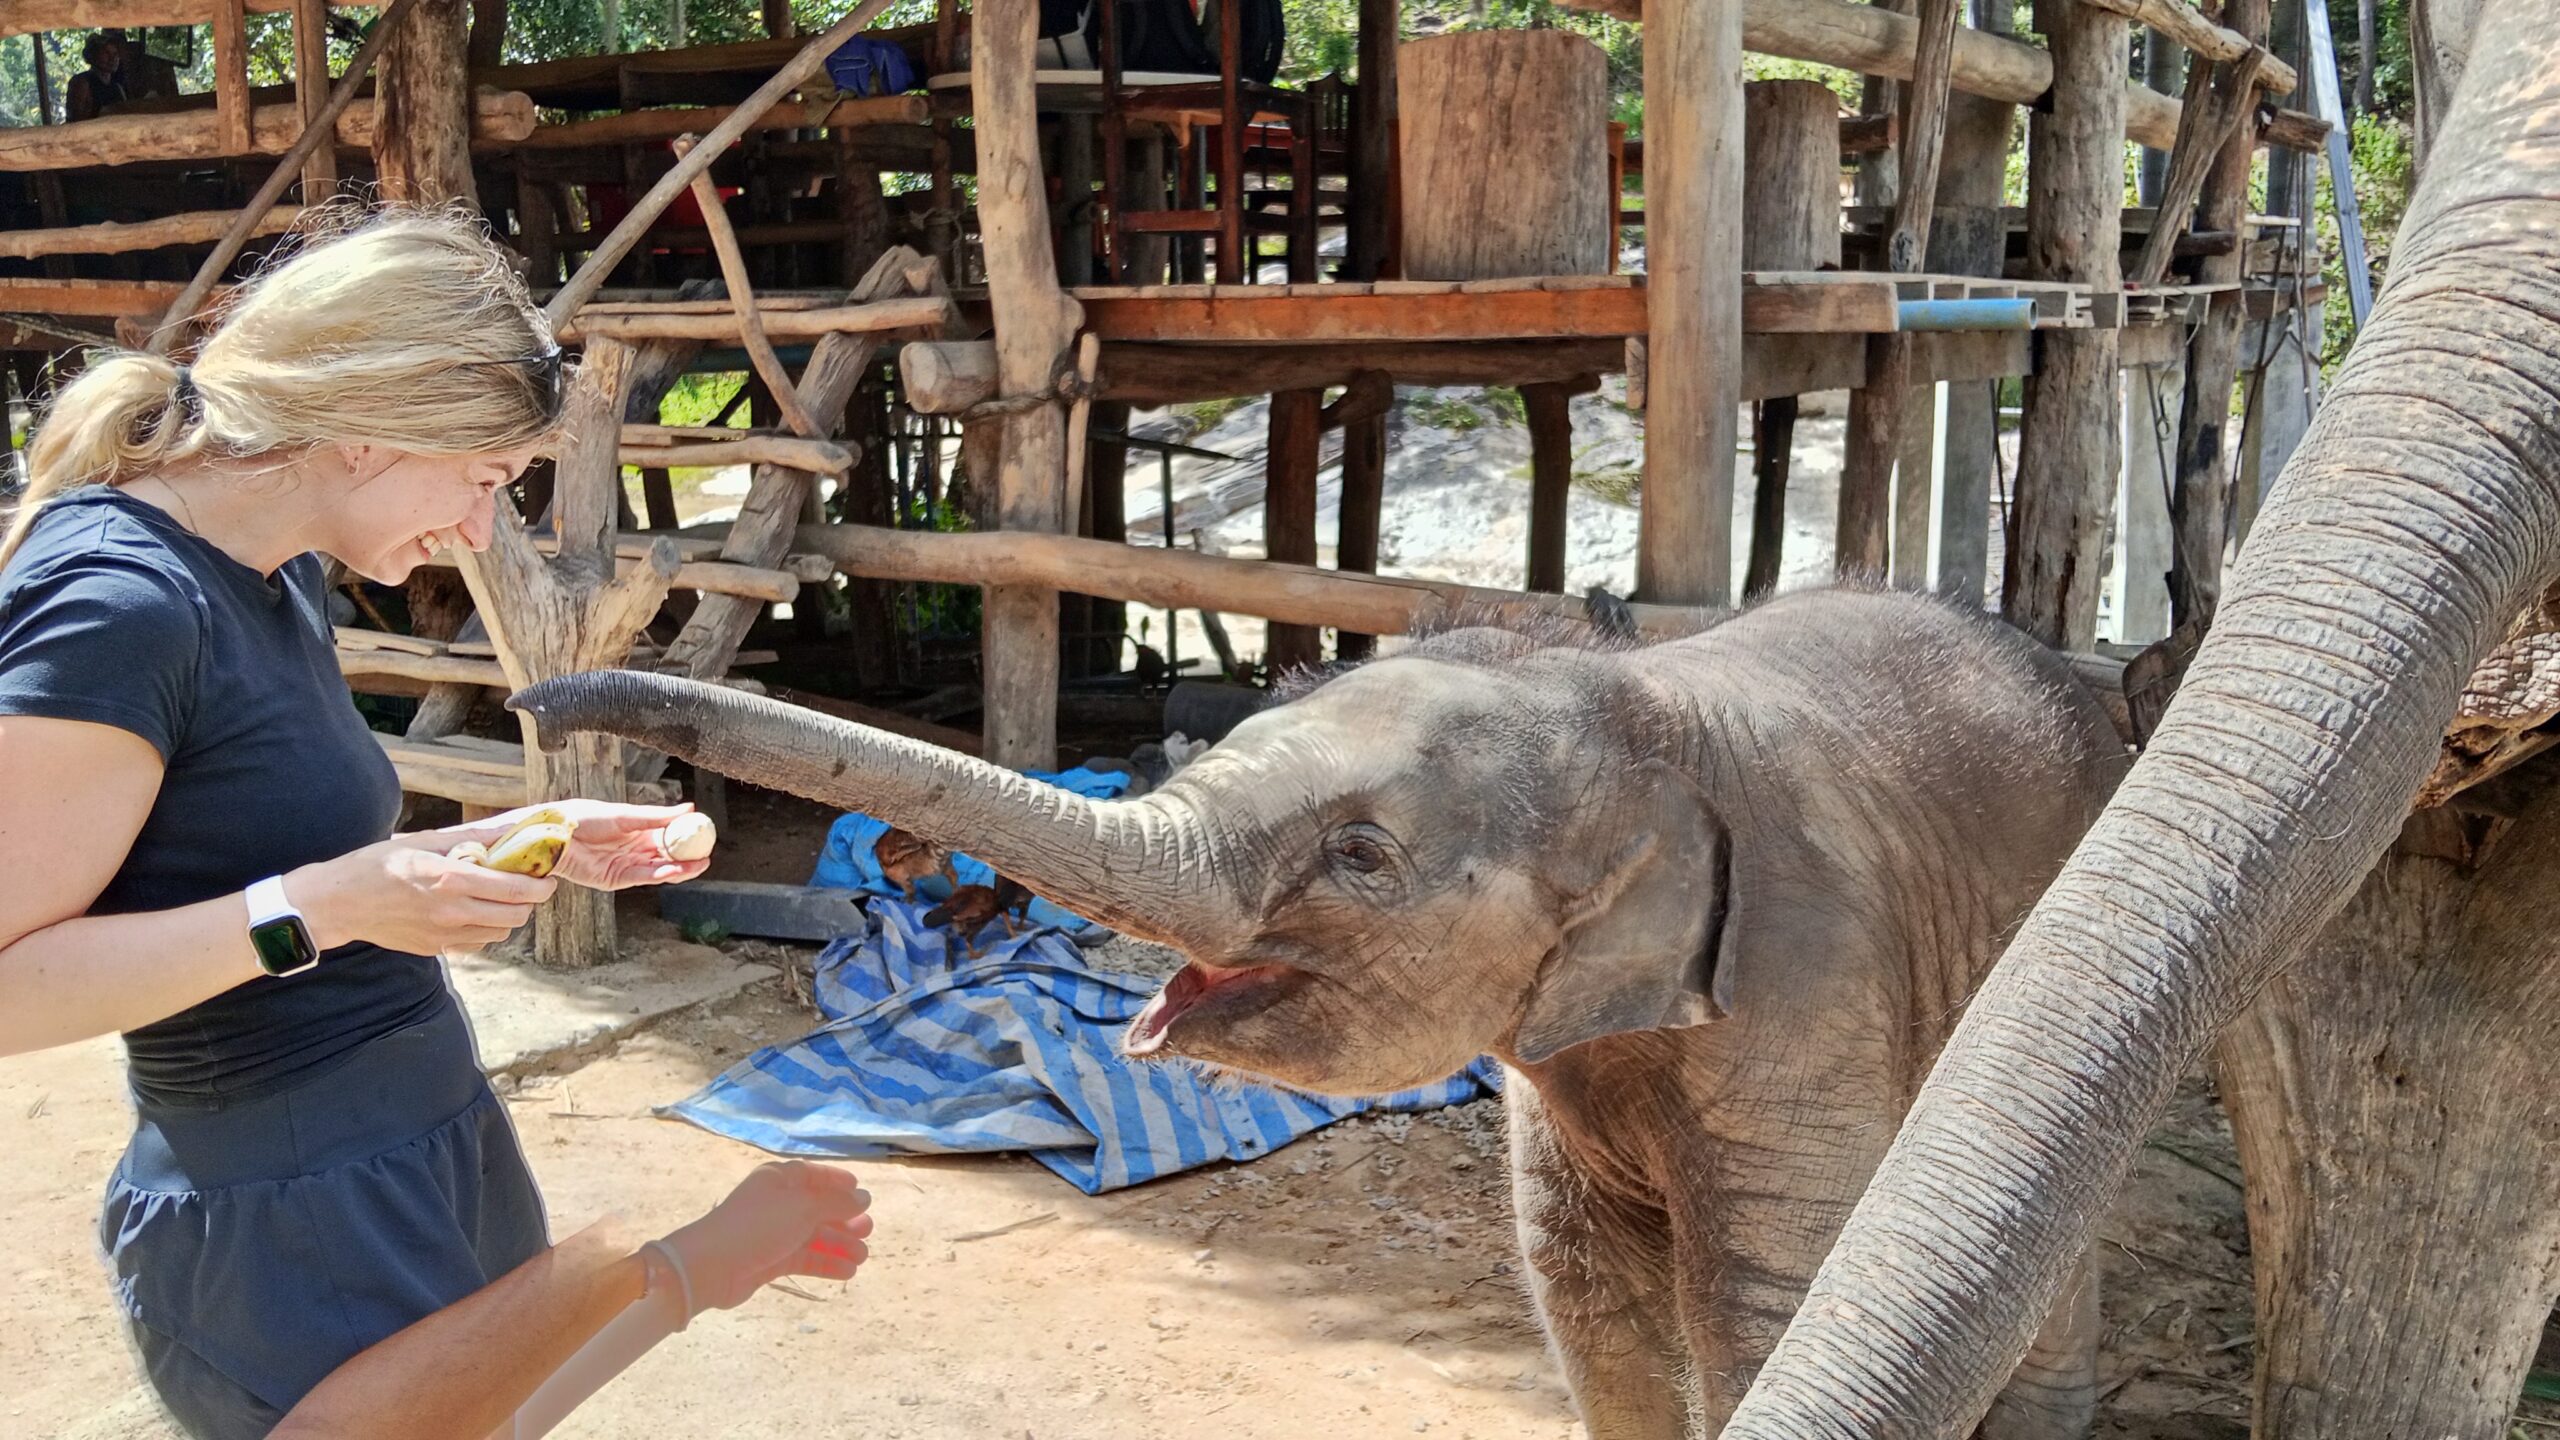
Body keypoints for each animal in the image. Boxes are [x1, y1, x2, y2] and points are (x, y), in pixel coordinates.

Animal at [511, 587, 2130, 1438]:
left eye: (1360, 858)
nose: (536, 699)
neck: (1632, 702)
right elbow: (1582, 1291)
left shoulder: (1808, 979)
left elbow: (1764, 1295)